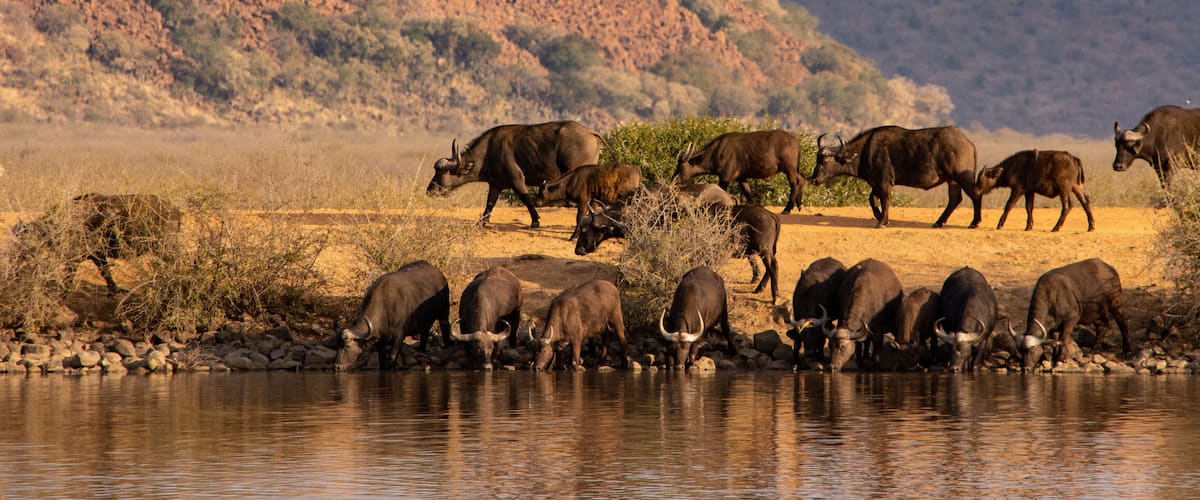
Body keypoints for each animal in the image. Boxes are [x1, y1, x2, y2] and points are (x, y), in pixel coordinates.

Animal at [13, 193, 181, 296]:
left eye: (25, 241)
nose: (17, 259)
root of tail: (175, 210)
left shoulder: (75, 258)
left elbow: (69, 276)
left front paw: (63, 292)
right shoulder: (97, 255)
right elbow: (105, 271)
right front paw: (114, 290)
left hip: (166, 247)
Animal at [426, 120, 604, 228]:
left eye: (441, 172)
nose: (430, 190)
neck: (489, 151)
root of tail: (590, 132)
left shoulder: (517, 179)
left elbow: (526, 199)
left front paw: (535, 221)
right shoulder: (495, 185)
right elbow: (490, 203)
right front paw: (482, 222)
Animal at [673, 129, 806, 213]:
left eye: (681, 167)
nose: (673, 180)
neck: (716, 151)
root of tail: (795, 140)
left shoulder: (725, 178)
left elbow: (723, 191)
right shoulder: (741, 178)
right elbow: (748, 193)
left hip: (789, 168)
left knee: (794, 183)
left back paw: (787, 209)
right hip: (793, 169)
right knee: (801, 179)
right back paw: (799, 204)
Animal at [811, 126, 982, 228]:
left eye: (824, 161)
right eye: (817, 160)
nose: (814, 179)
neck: (865, 151)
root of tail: (969, 143)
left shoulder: (885, 182)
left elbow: (885, 200)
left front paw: (882, 221)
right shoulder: (876, 183)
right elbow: (872, 200)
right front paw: (879, 216)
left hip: (962, 176)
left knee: (975, 194)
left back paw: (974, 222)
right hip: (952, 180)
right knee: (955, 199)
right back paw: (938, 222)